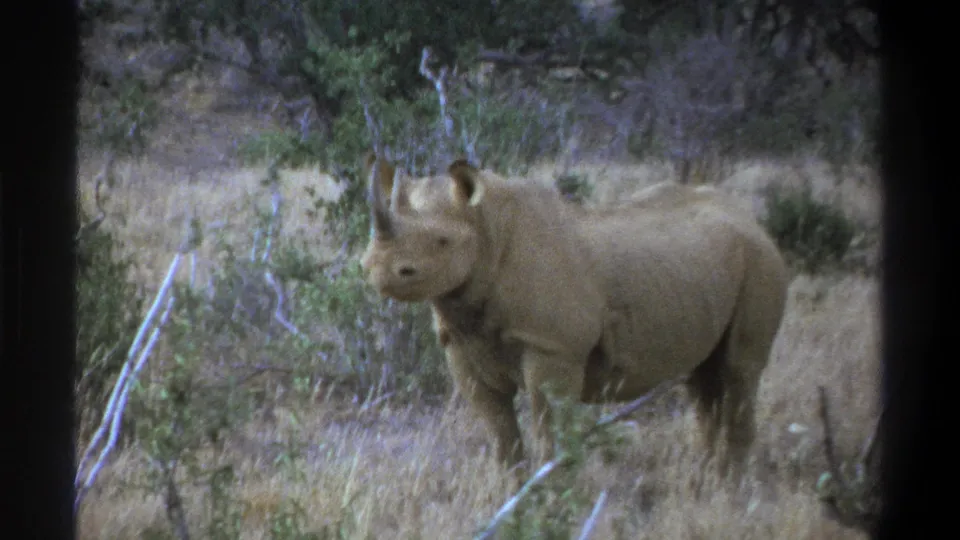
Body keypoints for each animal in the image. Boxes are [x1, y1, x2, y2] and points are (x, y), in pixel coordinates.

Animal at [359, 153, 790, 484]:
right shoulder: (463, 344)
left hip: (762, 261)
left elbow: (549, 429)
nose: (379, 269)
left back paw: (728, 491)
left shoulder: (553, 348)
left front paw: (551, 497)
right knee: (704, 379)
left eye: (442, 242)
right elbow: (500, 432)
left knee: (739, 370)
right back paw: (703, 481)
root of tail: (751, 219)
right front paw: (511, 494)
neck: (486, 228)